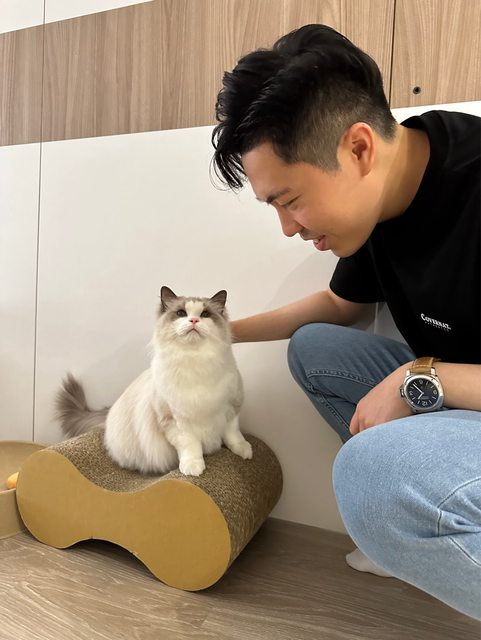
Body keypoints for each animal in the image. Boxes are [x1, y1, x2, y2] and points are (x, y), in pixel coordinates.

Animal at [56, 286, 252, 476]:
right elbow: (191, 447)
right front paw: (193, 468)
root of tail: (110, 411)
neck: (195, 361)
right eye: (181, 313)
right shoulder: (175, 421)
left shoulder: (231, 407)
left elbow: (233, 435)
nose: (194, 321)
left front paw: (244, 451)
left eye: (205, 314)